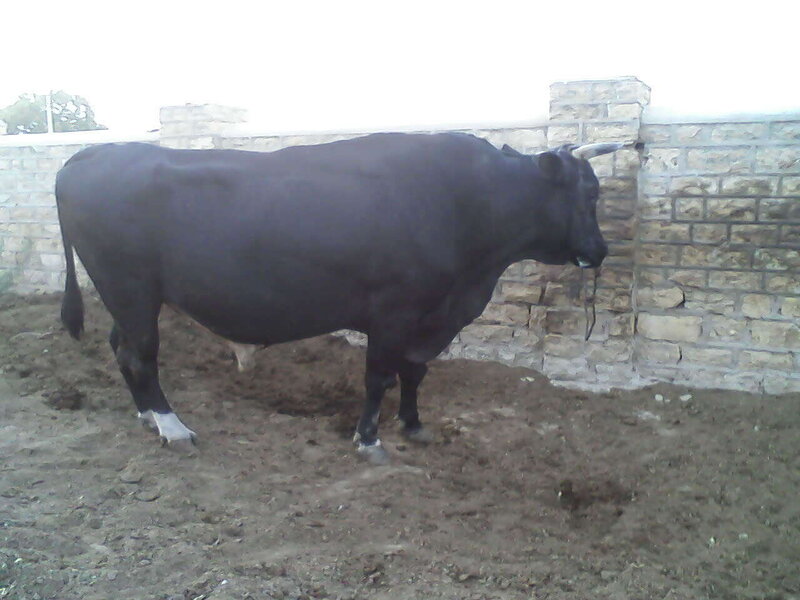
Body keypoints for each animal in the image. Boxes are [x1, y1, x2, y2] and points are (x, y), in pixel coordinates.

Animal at [55, 133, 628, 464]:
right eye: (590, 192)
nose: (600, 251)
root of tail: (97, 151)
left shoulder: (431, 317)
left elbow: (414, 372)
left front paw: (413, 425)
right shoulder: (394, 311)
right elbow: (379, 376)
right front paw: (369, 439)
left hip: (127, 295)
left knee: (121, 347)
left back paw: (147, 417)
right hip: (130, 287)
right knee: (141, 354)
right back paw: (172, 427)